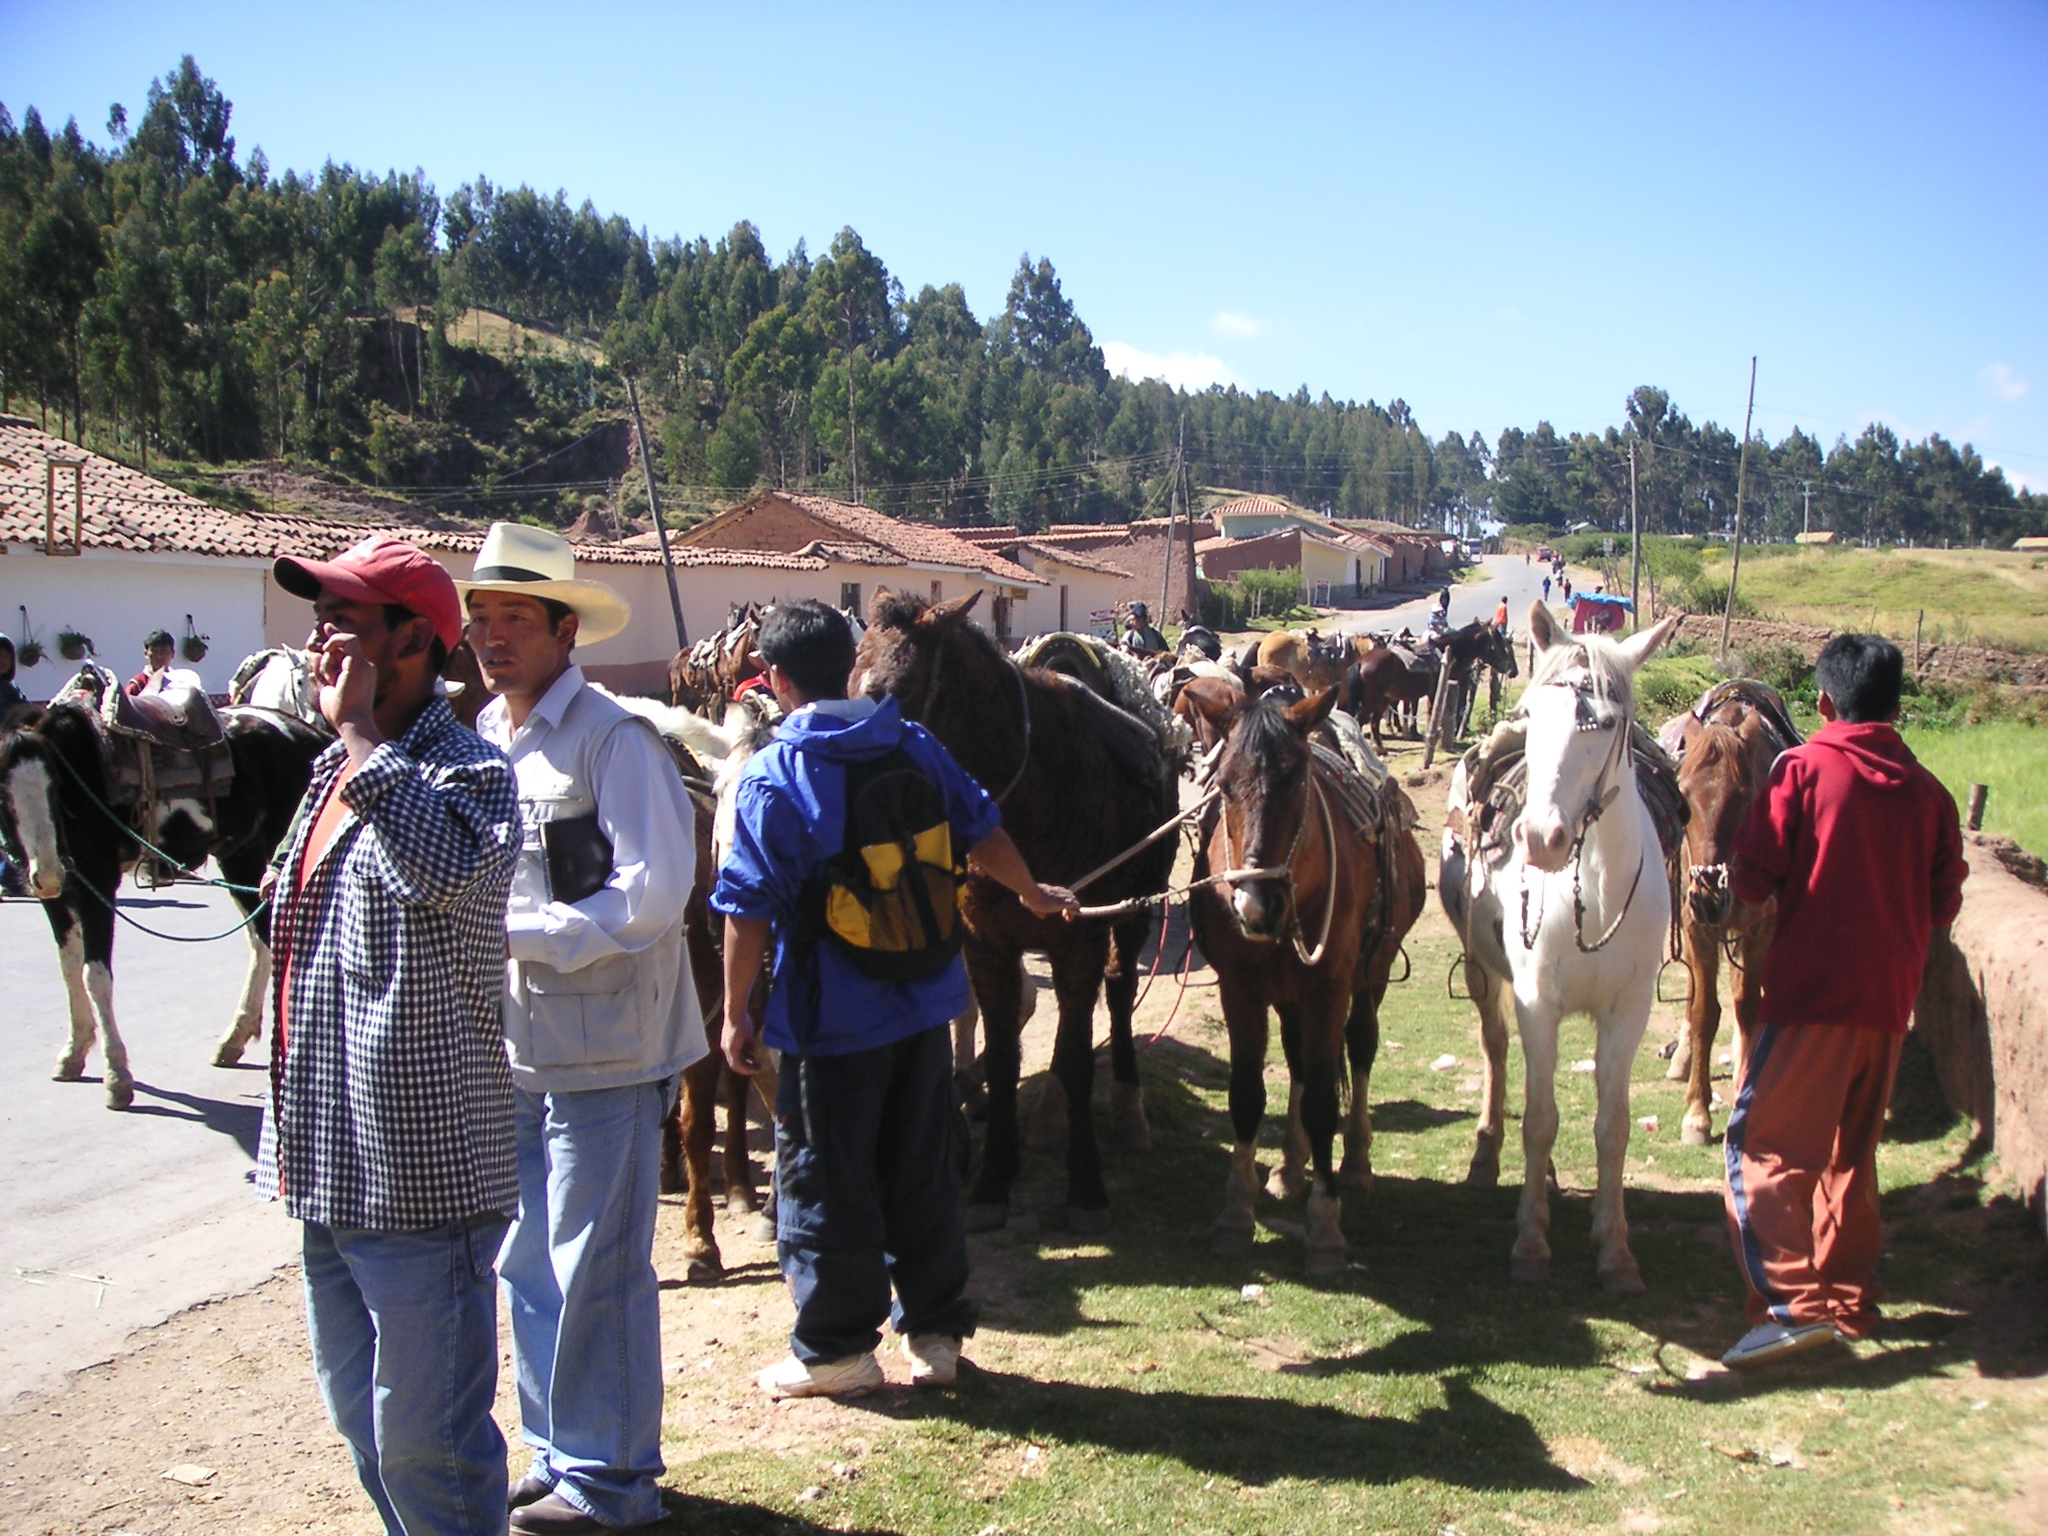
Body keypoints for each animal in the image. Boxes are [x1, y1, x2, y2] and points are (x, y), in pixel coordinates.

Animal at [0, 692, 325, 1114]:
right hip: (242, 856)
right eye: (4, 793)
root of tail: (310, 735)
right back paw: (235, 1038)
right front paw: (73, 1052)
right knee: (261, 941)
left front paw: (117, 1077)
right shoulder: (59, 896)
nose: (49, 872)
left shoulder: (97, 885)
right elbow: (69, 969)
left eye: (54, 785)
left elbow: (94, 976)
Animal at [856, 589, 1179, 1236]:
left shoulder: (1078, 940)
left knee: (1118, 991)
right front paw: (992, 1182)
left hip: (1133, 913)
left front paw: (1086, 1189)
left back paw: (1127, 1109)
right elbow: (1004, 1056)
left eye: (896, 692)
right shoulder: (988, 946)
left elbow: (1079, 1056)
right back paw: (1051, 1115)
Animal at [1187, 684, 1425, 1277]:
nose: (1256, 905)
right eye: (1224, 785)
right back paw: (1291, 1168)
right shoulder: (1240, 990)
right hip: (1290, 999)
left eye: (1295, 780)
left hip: (1369, 978)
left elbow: (1321, 1099)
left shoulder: (1328, 990)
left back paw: (1356, 1164)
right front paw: (1236, 1214)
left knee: (1360, 1050)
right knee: (1295, 1061)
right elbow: (1247, 1094)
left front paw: (1325, 1229)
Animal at [1441, 606, 1679, 1294]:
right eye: (1533, 713)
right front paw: (1531, 1243)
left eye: (1606, 722)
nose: (1540, 837)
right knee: (1499, 1053)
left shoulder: (1629, 1012)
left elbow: (1613, 1125)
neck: (1592, 889)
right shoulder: (1536, 1001)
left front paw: (1615, 1250)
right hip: (1483, 973)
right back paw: (1490, 1155)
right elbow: (1541, 1118)